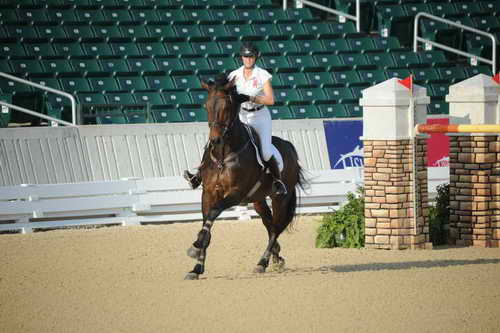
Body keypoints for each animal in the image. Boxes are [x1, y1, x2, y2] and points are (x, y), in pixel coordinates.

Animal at [185, 77, 306, 278]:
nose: (215, 141)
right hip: (258, 200)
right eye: (206, 106)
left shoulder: (235, 194)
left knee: (276, 228)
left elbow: (213, 213)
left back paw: (262, 263)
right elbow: (207, 223)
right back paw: (276, 257)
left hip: (280, 198)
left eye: (227, 107)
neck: (223, 155)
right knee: (269, 225)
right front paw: (196, 267)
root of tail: (289, 146)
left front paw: (195, 247)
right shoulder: (208, 193)